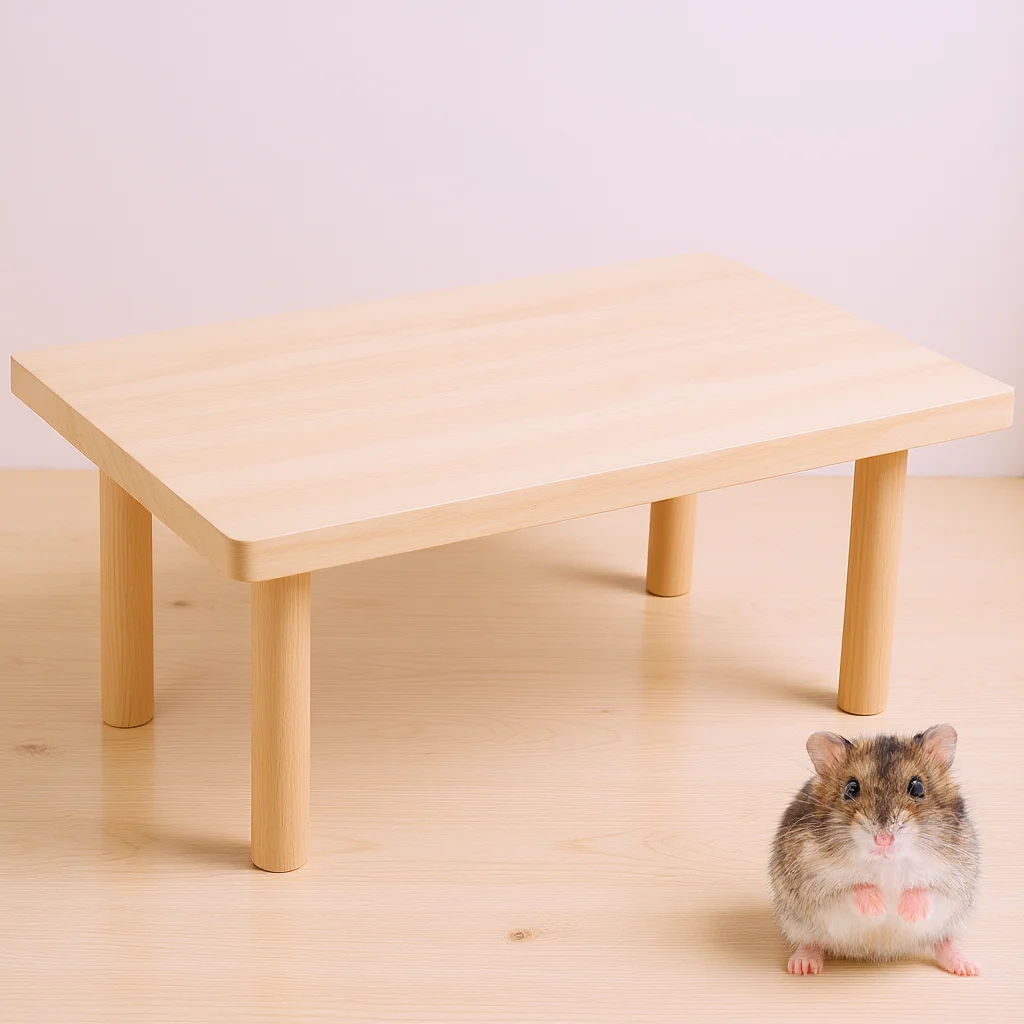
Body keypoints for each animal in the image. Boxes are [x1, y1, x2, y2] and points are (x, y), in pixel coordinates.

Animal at [768, 723, 980, 976]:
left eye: (917, 787)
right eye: (851, 788)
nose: (883, 840)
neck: (886, 863)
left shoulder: (952, 877)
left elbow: (925, 888)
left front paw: (908, 913)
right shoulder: (815, 881)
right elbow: (853, 887)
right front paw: (879, 910)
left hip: (950, 924)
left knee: (943, 941)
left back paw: (967, 967)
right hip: (797, 923)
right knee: (810, 942)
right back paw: (803, 966)